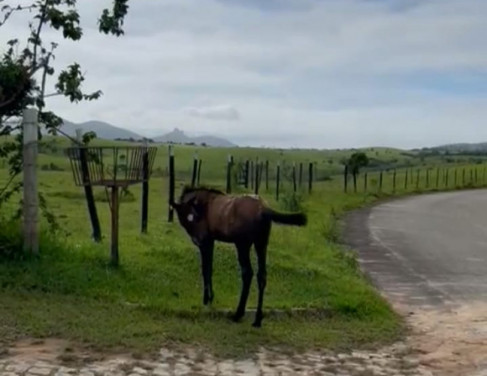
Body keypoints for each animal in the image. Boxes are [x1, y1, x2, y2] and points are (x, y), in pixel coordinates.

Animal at [172, 185, 306, 326]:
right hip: (261, 244)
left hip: (242, 245)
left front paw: (206, 300)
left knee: (247, 273)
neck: (203, 203)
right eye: (185, 216)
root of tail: (264, 209)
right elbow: (209, 268)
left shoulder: (206, 242)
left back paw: (238, 313)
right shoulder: (211, 241)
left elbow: (205, 269)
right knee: (262, 275)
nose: (198, 239)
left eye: (194, 216)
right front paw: (210, 298)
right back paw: (257, 319)